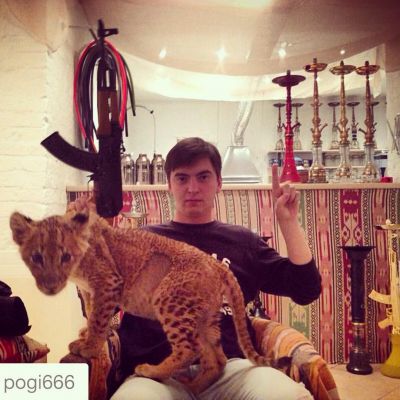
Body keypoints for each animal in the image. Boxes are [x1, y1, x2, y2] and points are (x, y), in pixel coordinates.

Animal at [10, 207, 274, 393]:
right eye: (36, 257)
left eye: (65, 256)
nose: (51, 286)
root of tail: (216, 264)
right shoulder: (90, 290)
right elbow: (93, 313)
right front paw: (87, 337)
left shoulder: (108, 283)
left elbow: (98, 319)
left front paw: (89, 347)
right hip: (205, 318)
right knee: (217, 359)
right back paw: (192, 387)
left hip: (169, 300)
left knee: (188, 349)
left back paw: (151, 371)